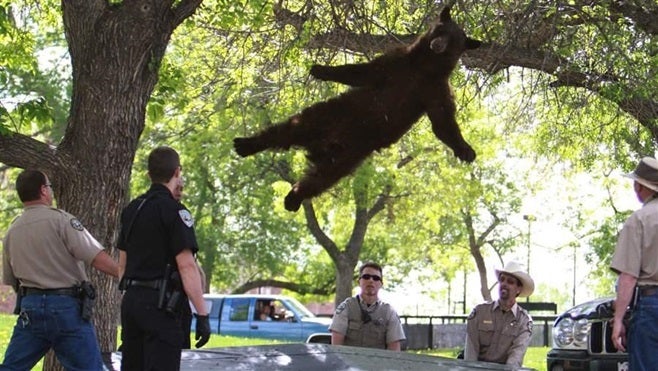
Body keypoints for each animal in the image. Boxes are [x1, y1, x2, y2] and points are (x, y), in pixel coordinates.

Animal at [233, 5, 480, 212]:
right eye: (441, 30)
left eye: (454, 40)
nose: (438, 44)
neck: (425, 66)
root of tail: (322, 146)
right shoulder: (398, 64)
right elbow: (362, 72)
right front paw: (320, 69)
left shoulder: (434, 89)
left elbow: (443, 121)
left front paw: (466, 150)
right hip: (328, 115)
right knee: (286, 130)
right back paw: (247, 144)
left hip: (349, 156)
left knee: (320, 179)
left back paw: (293, 198)